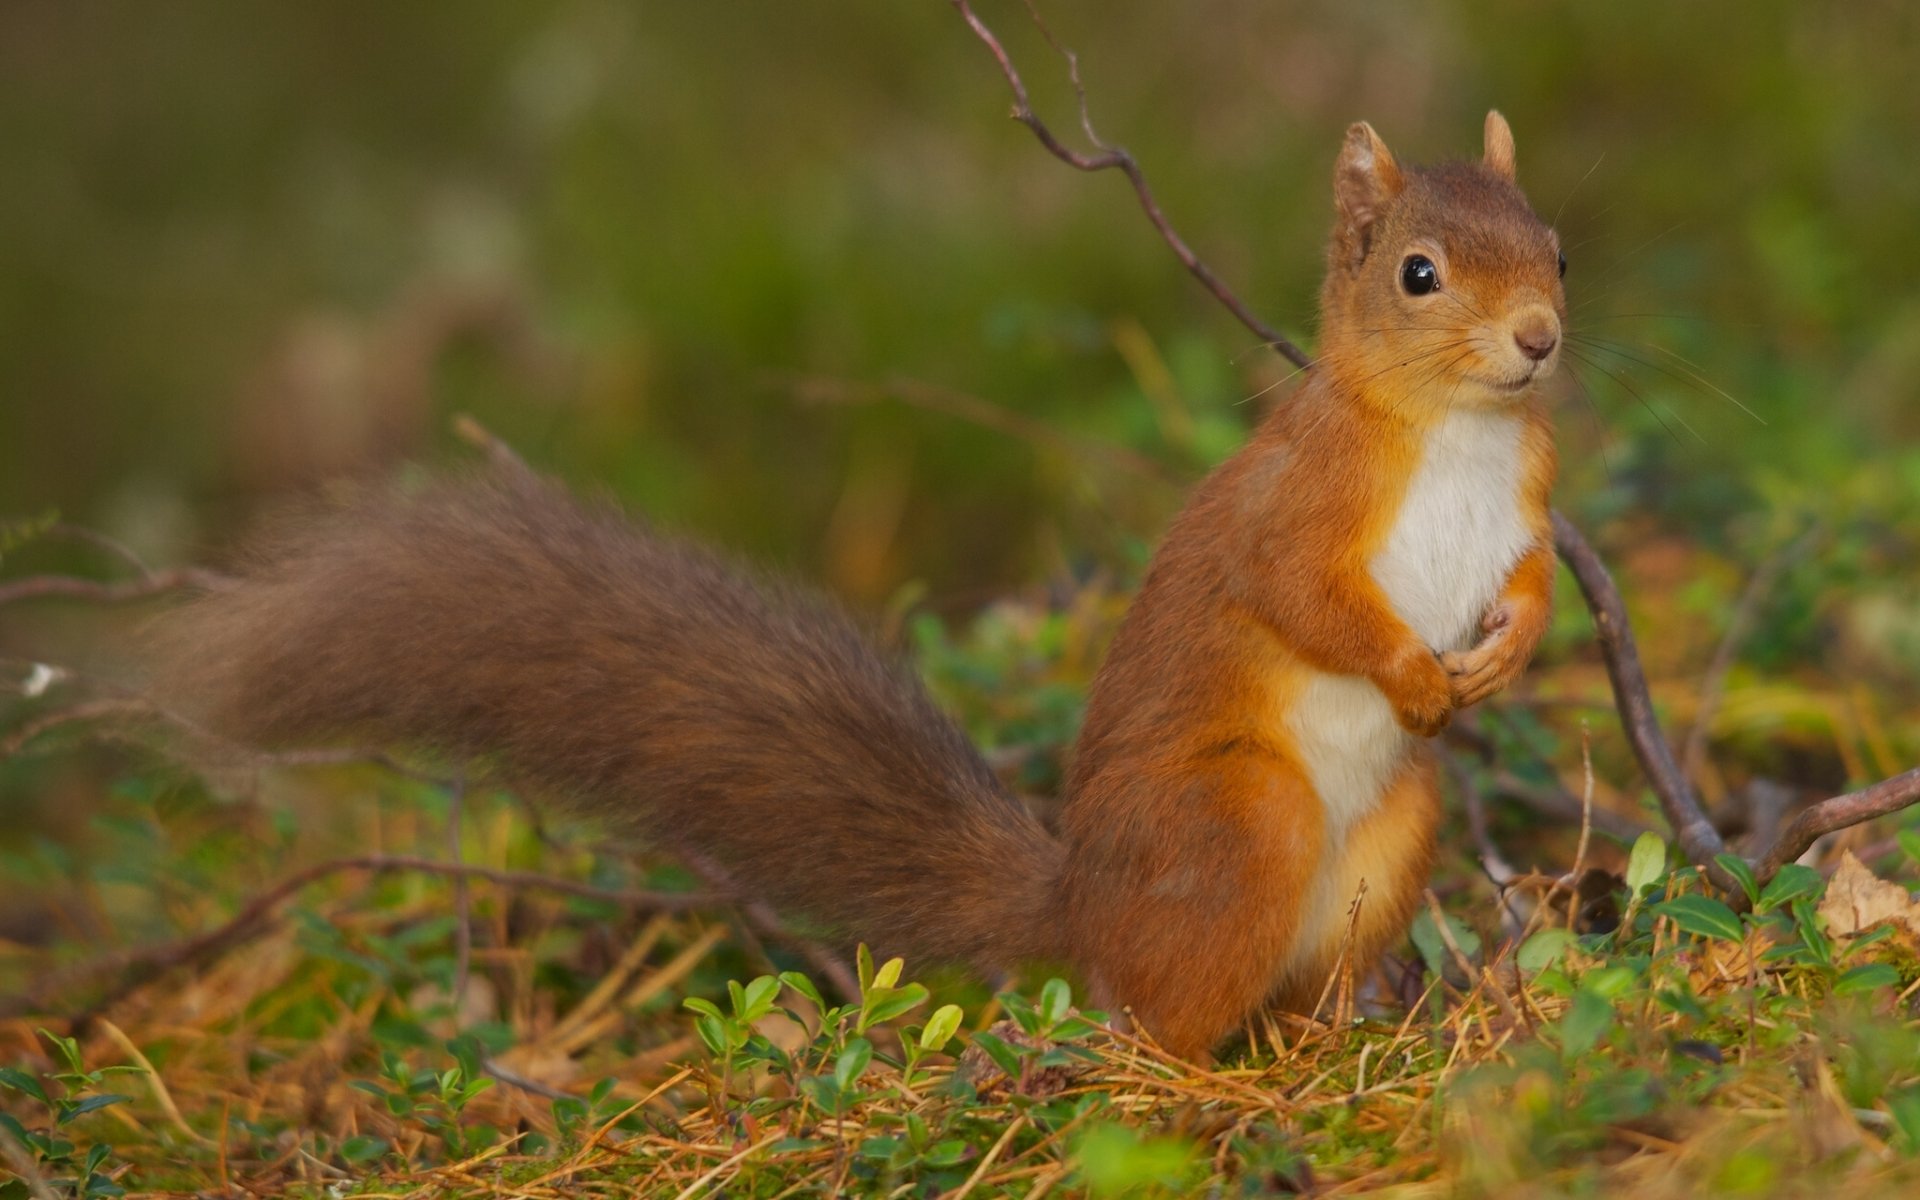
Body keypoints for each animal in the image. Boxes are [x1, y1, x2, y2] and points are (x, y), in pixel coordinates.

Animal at [159, 111, 1564, 1062]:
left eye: (1554, 244)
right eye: (1419, 273)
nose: (1542, 339)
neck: (1455, 432)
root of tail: (1079, 911)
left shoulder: (1528, 498)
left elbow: (1534, 575)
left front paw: (1505, 653)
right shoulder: (1300, 509)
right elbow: (1300, 597)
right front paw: (1410, 672)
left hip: (1394, 831)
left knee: (1302, 981)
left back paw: (1348, 1036)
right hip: (1239, 818)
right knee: (1152, 1024)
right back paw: (1203, 1080)